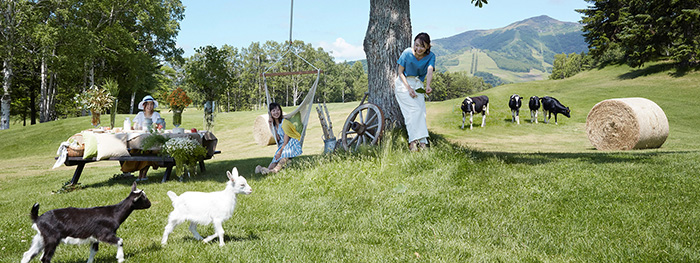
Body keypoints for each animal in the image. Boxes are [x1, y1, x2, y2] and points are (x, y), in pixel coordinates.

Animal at [21, 183, 150, 263]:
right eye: (143, 198)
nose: (150, 204)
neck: (113, 213)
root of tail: (37, 218)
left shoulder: (94, 238)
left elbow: (93, 251)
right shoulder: (104, 234)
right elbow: (120, 241)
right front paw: (121, 258)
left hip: (41, 237)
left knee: (28, 254)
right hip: (52, 238)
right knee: (45, 258)